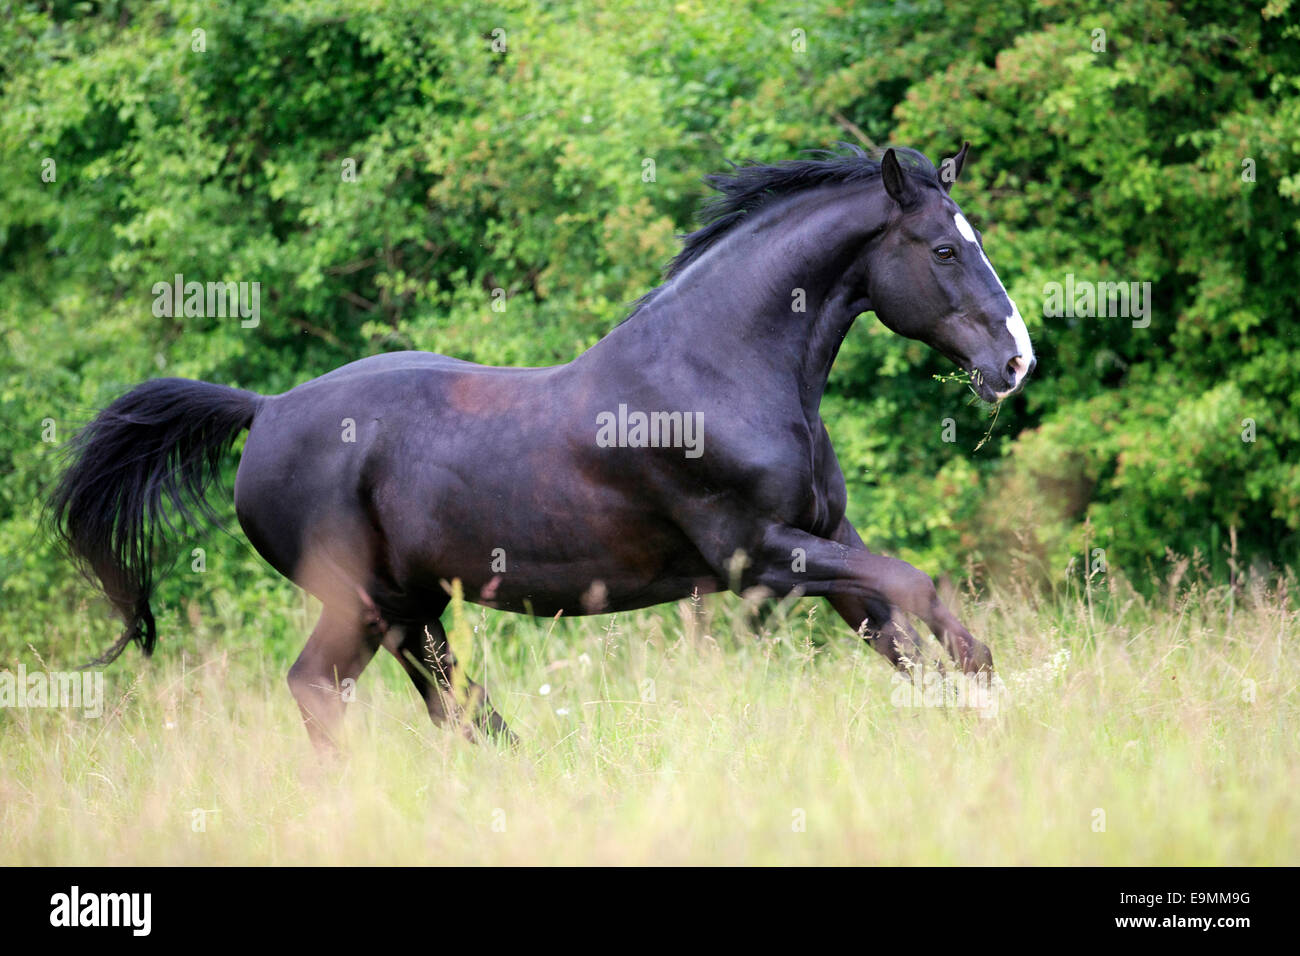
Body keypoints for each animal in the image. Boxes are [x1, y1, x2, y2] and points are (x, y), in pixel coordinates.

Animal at [53, 145, 1034, 749]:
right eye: (944, 250)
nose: (1015, 362)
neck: (722, 370)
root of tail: (265, 410)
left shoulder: (827, 543)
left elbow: (906, 634)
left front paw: (977, 715)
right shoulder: (759, 556)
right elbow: (918, 588)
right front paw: (992, 700)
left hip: (411, 607)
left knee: (456, 707)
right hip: (358, 601)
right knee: (321, 689)